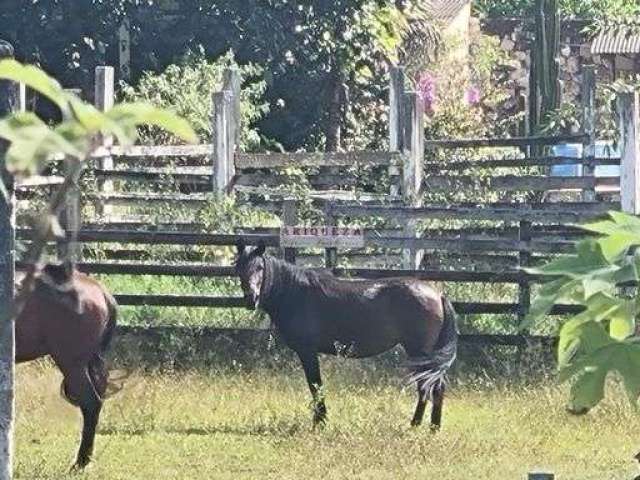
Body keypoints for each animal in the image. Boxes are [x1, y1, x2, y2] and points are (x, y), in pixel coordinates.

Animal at [238, 242, 458, 430]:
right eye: (239, 266)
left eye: (260, 267)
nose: (251, 299)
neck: (295, 293)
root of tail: (437, 294)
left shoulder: (307, 351)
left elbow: (315, 386)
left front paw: (320, 422)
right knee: (433, 387)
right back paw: (429, 427)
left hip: (420, 352)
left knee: (429, 387)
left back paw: (420, 426)